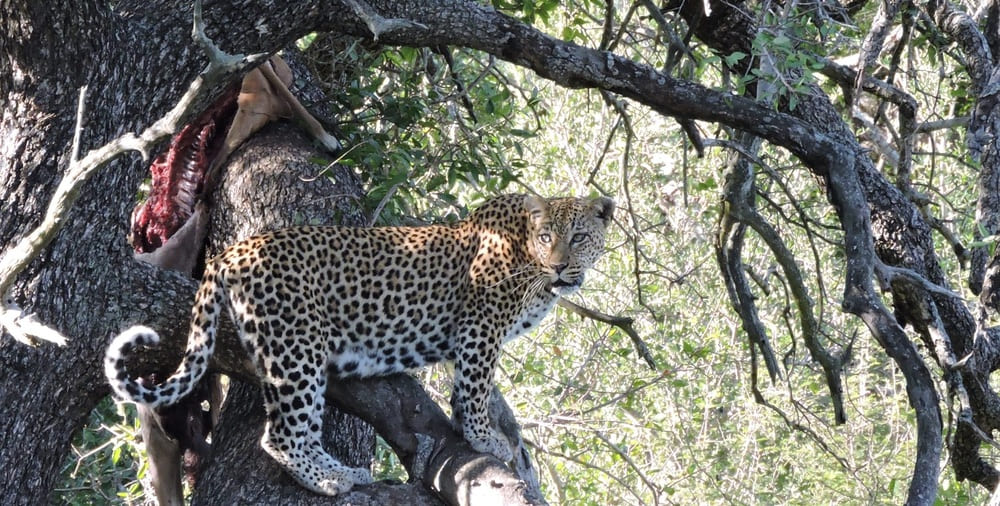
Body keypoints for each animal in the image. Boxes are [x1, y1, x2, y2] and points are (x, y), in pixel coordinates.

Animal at [105, 193, 612, 494]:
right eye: (548, 236)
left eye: (579, 237)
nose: (561, 266)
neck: (532, 262)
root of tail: (233, 251)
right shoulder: (481, 327)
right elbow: (475, 386)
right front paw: (484, 437)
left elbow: (473, 386)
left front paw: (485, 428)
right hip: (297, 344)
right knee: (281, 435)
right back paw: (331, 480)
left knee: (299, 429)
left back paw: (339, 471)